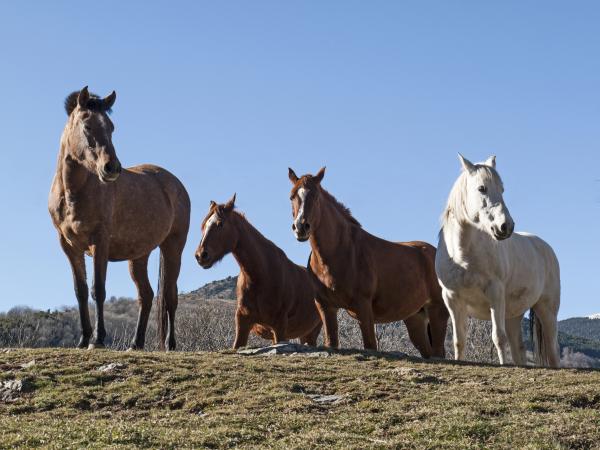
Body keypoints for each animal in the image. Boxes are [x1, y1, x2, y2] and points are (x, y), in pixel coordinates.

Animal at [49, 87, 190, 352]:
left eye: (111, 127)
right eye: (87, 126)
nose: (111, 168)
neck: (74, 193)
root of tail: (175, 184)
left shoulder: (99, 242)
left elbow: (98, 289)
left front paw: (98, 339)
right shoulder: (69, 246)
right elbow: (80, 290)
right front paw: (83, 339)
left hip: (173, 247)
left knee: (169, 295)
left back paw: (170, 344)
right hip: (139, 255)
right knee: (146, 295)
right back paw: (136, 343)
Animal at [195, 195, 322, 346]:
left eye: (220, 224)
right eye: (203, 226)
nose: (201, 255)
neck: (260, 275)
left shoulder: (279, 328)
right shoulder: (243, 324)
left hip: (313, 332)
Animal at [288, 167, 448, 356]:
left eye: (316, 197)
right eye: (292, 196)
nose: (300, 227)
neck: (340, 252)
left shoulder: (363, 306)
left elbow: (370, 345)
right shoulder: (325, 306)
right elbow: (331, 343)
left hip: (437, 309)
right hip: (416, 317)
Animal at [434, 155, 560, 366]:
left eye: (502, 189)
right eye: (481, 188)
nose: (505, 226)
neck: (463, 257)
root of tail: (546, 248)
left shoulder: (495, 293)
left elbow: (498, 338)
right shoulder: (452, 299)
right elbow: (459, 340)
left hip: (547, 310)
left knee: (552, 350)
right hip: (513, 316)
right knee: (519, 350)